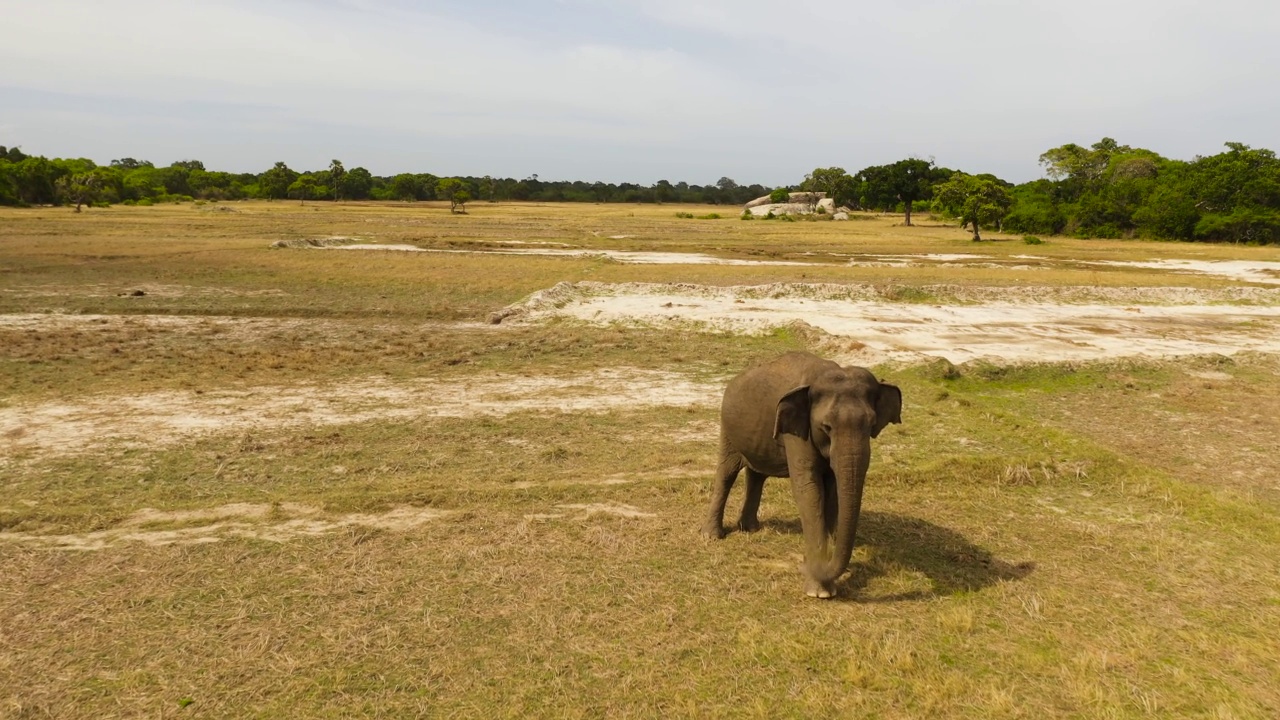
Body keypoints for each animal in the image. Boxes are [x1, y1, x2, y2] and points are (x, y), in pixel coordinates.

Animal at [701, 351, 901, 597]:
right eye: (826, 427)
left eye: (872, 425)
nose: (803, 565)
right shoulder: (796, 433)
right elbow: (809, 490)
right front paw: (819, 591)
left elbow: (832, 491)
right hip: (728, 428)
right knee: (727, 473)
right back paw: (712, 535)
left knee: (757, 474)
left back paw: (749, 529)